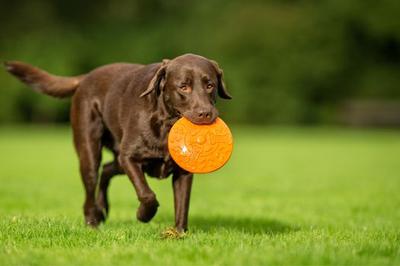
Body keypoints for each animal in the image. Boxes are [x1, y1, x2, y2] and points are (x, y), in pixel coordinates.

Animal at [4, 54, 231, 233]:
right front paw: (143, 215)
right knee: (91, 185)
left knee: (106, 170)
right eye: (184, 86)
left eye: (209, 85)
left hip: (117, 158)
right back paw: (93, 221)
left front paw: (179, 233)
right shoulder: (129, 157)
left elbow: (183, 205)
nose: (205, 114)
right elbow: (147, 194)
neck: (166, 123)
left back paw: (103, 209)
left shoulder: (183, 172)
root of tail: (86, 77)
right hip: (90, 152)